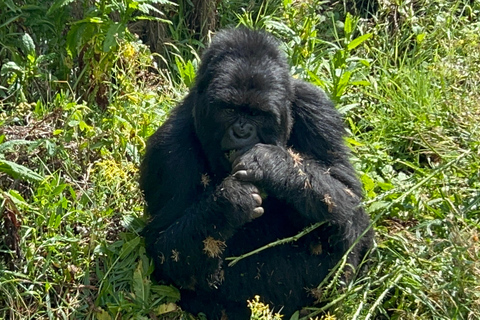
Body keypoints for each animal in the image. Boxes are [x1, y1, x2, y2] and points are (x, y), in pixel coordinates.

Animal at [141, 28, 374, 318]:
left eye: (258, 114)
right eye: (229, 109)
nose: (242, 132)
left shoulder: (317, 109)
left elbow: (350, 200)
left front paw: (272, 165)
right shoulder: (168, 147)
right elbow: (162, 248)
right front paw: (229, 202)